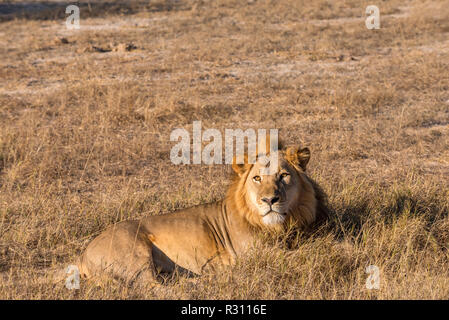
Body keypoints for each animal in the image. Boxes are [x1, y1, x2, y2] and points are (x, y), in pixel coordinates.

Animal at [76, 144, 326, 286]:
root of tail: (83, 256)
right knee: (151, 288)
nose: (269, 200)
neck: (279, 224)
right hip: (134, 255)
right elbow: (305, 255)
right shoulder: (258, 256)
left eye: (283, 175)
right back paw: (207, 280)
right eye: (257, 178)